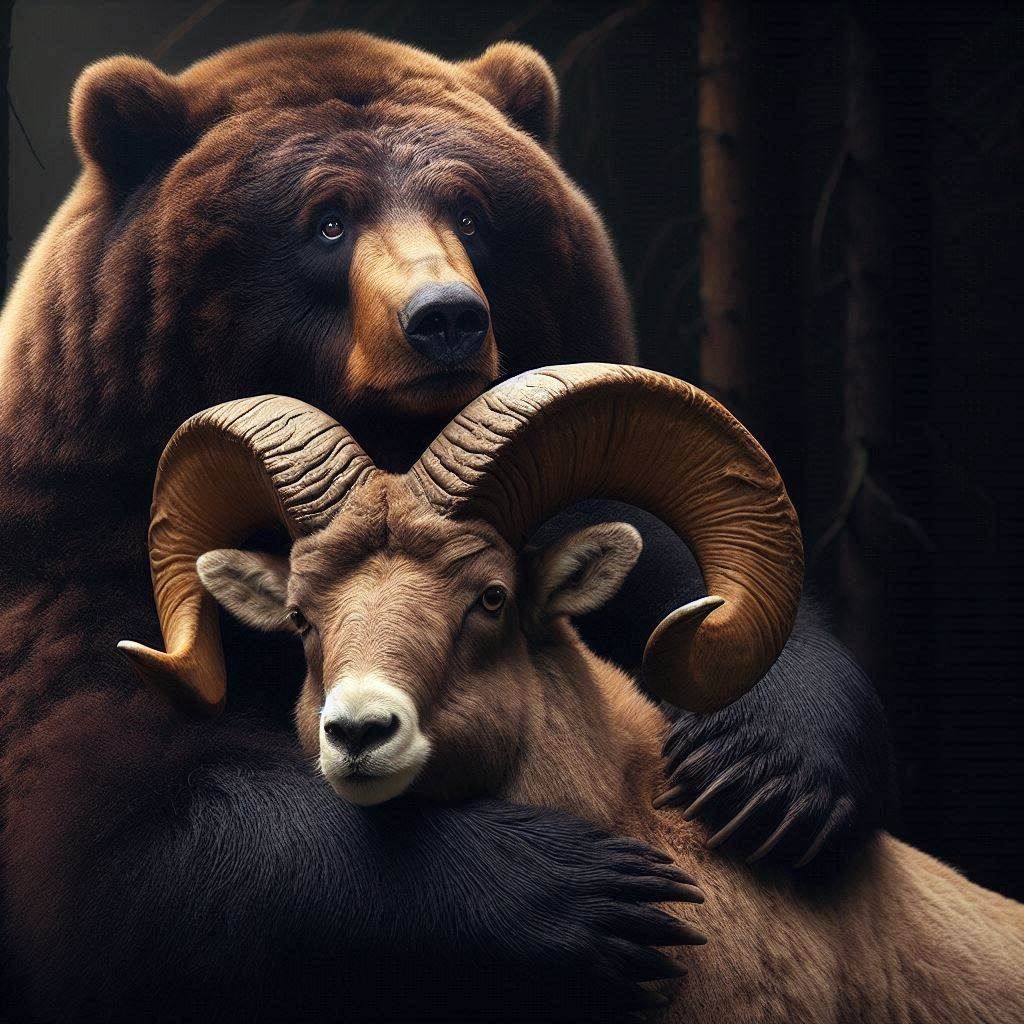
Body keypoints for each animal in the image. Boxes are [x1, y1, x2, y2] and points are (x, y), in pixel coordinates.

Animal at [0, 31, 891, 1021]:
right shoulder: (79, 568)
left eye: (471, 209)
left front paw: (765, 776)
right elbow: (127, 815)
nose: (447, 318)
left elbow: (686, 572)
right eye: (326, 220)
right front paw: (578, 886)